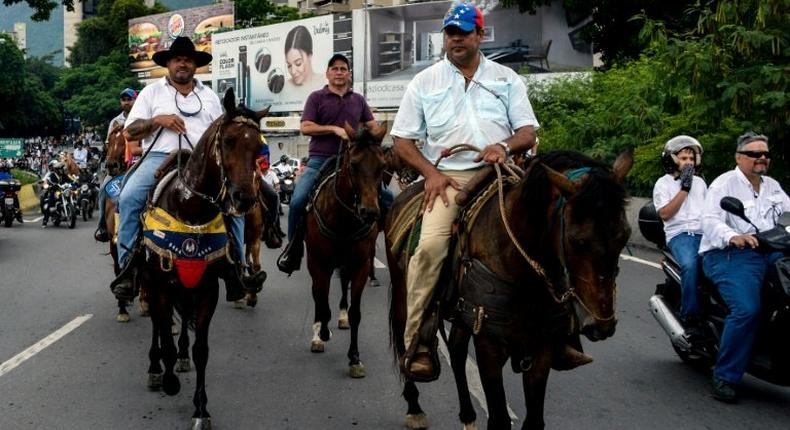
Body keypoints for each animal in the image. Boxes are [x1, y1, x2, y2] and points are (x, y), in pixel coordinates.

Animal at [139, 88, 270, 430]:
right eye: (229, 141)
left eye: (258, 146)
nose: (244, 199)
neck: (190, 210)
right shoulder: (161, 287)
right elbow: (164, 334)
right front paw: (169, 379)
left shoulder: (207, 289)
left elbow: (201, 350)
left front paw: (201, 410)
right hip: (151, 283)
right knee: (157, 325)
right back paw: (156, 370)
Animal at [304, 123, 388, 376]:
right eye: (353, 165)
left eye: (382, 166)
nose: (370, 212)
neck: (343, 220)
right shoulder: (319, 263)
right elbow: (321, 300)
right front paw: (322, 333)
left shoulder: (359, 263)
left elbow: (356, 312)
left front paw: (354, 358)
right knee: (318, 294)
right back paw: (319, 333)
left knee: (342, 286)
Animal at [386, 149, 636, 428]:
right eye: (575, 240)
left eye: (625, 236)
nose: (601, 325)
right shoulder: (489, 344)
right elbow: (499, 418)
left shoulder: (541, 344)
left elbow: (534, 419)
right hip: (403, 296)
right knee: (404, 340)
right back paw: (415, 405)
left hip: (464, 316)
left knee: (457, 352)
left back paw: (468, 415)